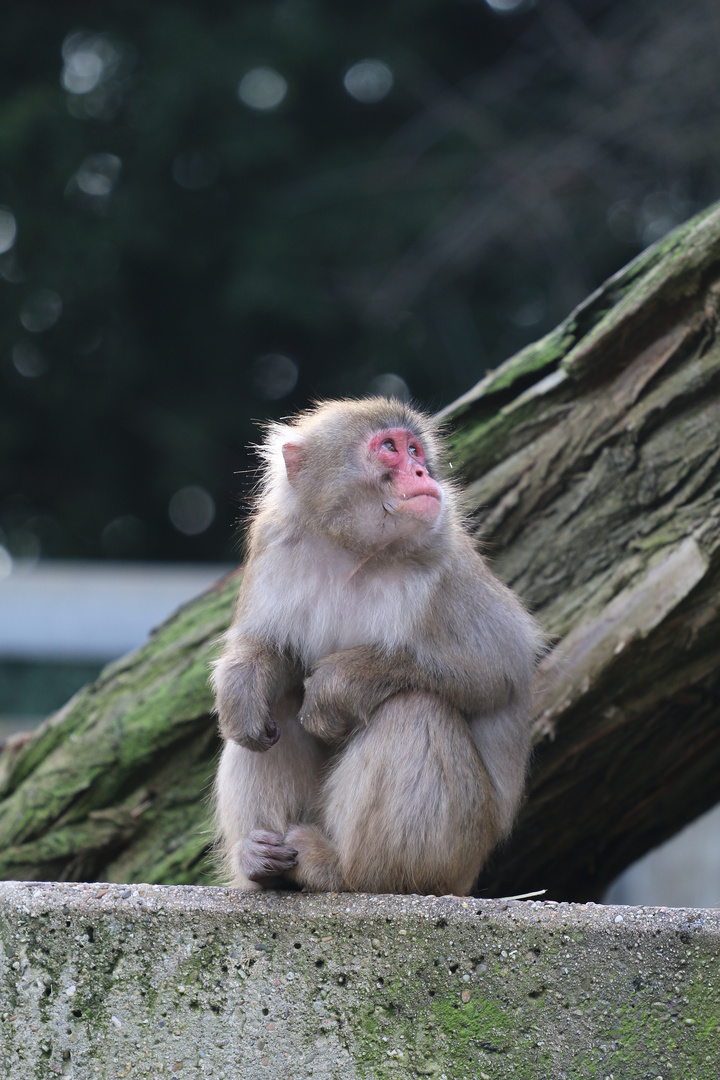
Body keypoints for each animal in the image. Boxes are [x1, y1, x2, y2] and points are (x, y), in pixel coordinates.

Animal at [211, 397, 544, 894]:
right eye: (390, 448)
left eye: (416, 450)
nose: (422, 472)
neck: (355, 552)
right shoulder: (276, 544)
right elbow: (271, 650)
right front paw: (240, 688)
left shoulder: (445, 570)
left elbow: (495, 673)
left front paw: (336, 687)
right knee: (280, 704)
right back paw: (260, 861)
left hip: (457, 853)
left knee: (413, 707)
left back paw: (342, 870)